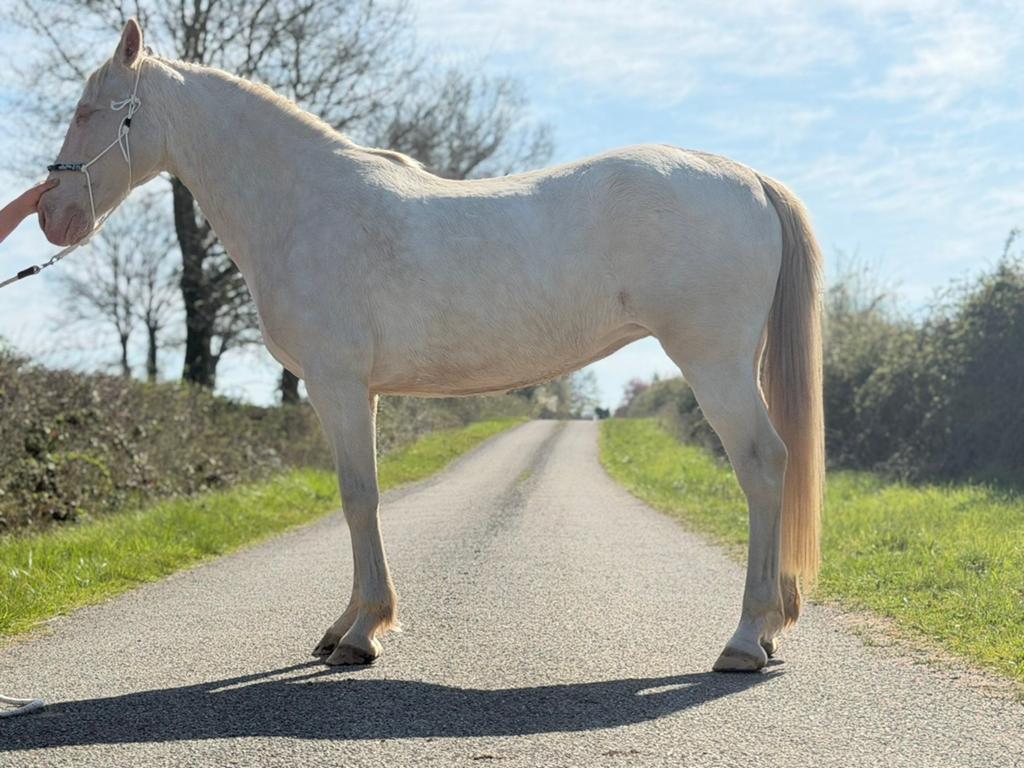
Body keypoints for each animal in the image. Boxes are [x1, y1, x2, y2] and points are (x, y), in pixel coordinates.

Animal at [41, 19, 824, 672]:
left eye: (88, 111)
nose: (52, 216)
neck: (303, 203)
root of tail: (749, 178)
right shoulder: (359, 392)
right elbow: (357, 496)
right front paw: (347, 625)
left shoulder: (336, 384)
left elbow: (359, 496)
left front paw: (362, 634)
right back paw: (772, 626)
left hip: (714, 363)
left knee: (763, 464)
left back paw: (746, 638)